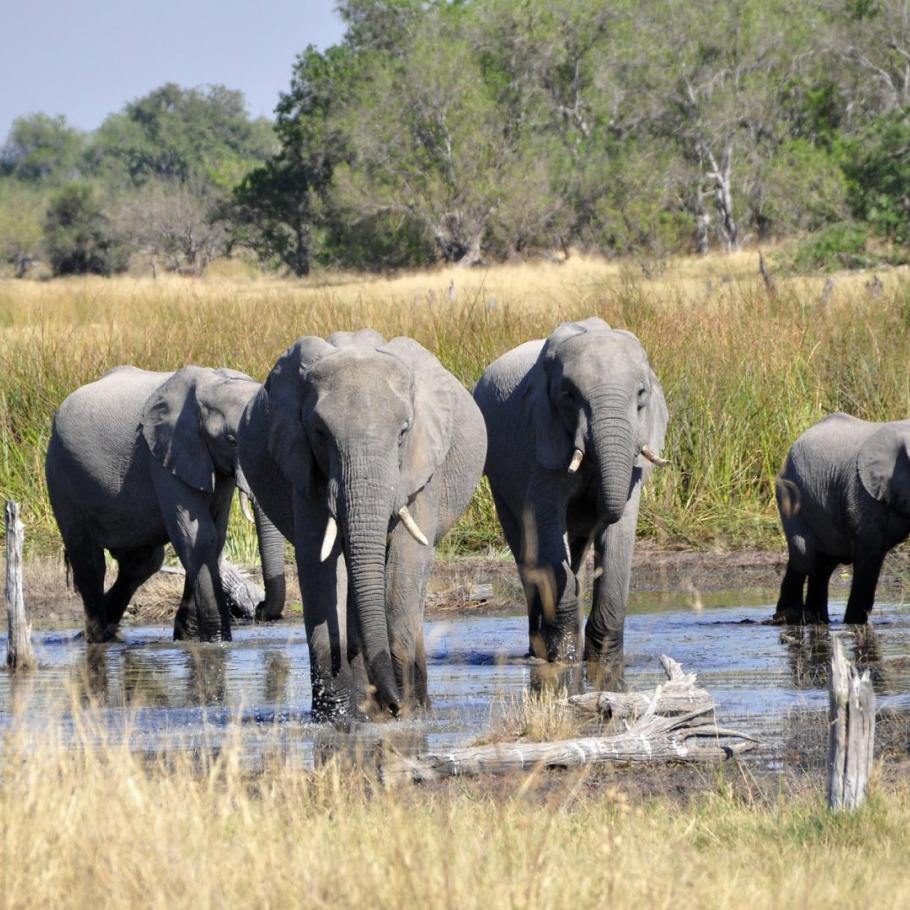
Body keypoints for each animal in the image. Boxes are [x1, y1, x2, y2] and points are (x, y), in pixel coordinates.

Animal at [45, 364, 284, 640]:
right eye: (233, 441)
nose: (258, 608)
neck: (212, 382)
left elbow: (215, 536)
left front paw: (190, 638)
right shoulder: (163, 453)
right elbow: (198, 537)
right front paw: (216, 641)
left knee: (141, 563)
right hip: (60, 474)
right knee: (89, 559)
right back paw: (98, 637)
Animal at [239, 332, 488, 724]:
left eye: (403, 432)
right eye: (320, 433)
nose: (393, 704)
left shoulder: (421, 468)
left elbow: (405, 565)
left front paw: (404, 712)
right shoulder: (303, 468)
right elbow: (320, 566)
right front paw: (338, 716)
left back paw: (416, 703)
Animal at [478, 318, 668, 680]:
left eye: (641, 394)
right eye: (568, 396)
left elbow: (621, 530)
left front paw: (603, 662)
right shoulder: (542, 440)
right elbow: (548, 525)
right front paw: (564, 660)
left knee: (575, 556)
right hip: (498, 480)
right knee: (527, 551)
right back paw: (539, 650)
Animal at [772, 416, 910, 624]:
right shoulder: (861, 491)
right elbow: (869, 550)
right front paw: (854, 623)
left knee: (823, 566)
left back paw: (816, 620)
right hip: (791, 492)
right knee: (803, 556)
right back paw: (788, 618)